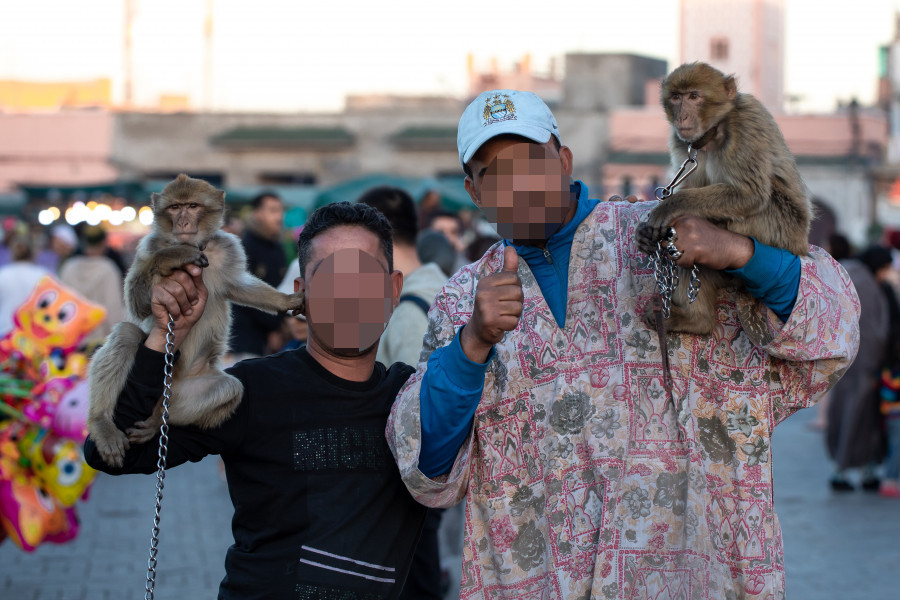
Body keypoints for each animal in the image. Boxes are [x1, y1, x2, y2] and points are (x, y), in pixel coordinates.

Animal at [88, 171, 306, 466]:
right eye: (174, 208)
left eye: (192, 206)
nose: (182, 221)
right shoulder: (148, 246)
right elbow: (136, 301)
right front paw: (173, 256)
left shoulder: (228, 248)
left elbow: (238, 286)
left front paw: (285, 300)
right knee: (127, 334)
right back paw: (102, 423)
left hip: (184, 392)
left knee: (230, 388)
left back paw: (155, 421)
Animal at [636, 62, 812, 336]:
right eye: (676, 97)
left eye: (694, 96)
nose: (682, 117)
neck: (713, 132)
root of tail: (802, 245)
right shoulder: (681, 142)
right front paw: (644, 234)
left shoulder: (745, 124)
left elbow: (750, 193)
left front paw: (669, 206)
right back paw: (696, 319)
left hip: (782, 230)